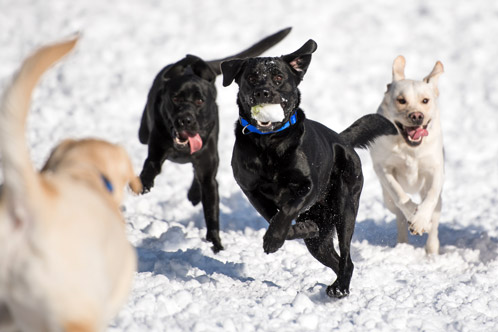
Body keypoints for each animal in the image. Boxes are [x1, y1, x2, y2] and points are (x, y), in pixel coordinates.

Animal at [138, 28, 290, 252]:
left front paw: (216, 244)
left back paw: (194, 193)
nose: (185, 120)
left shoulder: (209, 174)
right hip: (144, 133)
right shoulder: (156, 149)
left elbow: (211, 213)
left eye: (200, 101)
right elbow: (151, 166)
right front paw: (144, 183)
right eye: (175, 98)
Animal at [222, 40, 396, 296]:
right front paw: (302, 228)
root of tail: (342, 140)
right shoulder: (251, 189)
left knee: (347, 257)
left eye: (278, 77)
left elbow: (285, 212)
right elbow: (274, 216)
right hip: (321, 236)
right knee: (335, 258)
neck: (269, 144)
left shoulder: (307, 186)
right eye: (252, 77)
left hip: (345, 208)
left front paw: (273, 239)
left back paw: (340, 289)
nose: (263, 92)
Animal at [370, 56, 444, 254]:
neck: (409, 148)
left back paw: (431, 249)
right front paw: (413, 214)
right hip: (387, 200)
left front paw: (421, 220)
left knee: (435, 222)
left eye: (425, 100)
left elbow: (431, 195)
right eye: (401, 100)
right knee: (399, 215)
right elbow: (399, 195)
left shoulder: (435, 168)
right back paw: (403, 243)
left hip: (438, 203)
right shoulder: (383, 168)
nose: (417, 116)